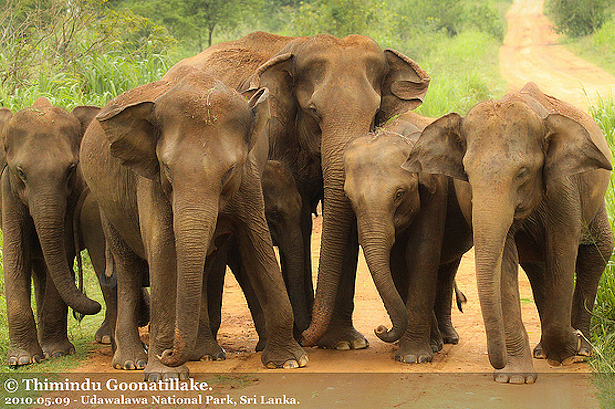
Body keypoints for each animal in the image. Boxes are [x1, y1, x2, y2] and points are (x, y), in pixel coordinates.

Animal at [0, 98, 102, 364]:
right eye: (21, 173)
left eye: (71, 169)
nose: (94, 304)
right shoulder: (7, 191)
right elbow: (16, 256)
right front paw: (22, 360)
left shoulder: (72, 196)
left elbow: (61, 253)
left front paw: (57, 352)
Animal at [166, 31, 430, 348]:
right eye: (314, 111)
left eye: (375, 112)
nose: (381, 329)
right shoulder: (272, 133)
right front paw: (310, 337)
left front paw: (345, 343)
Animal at [344, 110, 474, 362]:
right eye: (350, 199)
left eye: (399, 194)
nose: (380, 328)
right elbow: (397, 264)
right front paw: (425, 349)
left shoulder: (436, 189)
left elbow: (420, 255)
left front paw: (415, 357)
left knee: (446, 272)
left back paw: (449, 339)